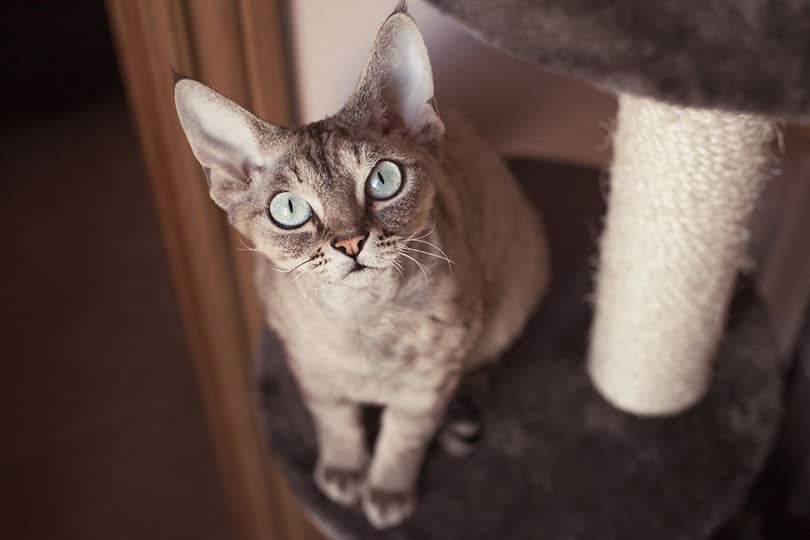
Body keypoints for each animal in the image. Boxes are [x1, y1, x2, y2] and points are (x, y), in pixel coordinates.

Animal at [173, 1, 548, 532]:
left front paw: (387, 493)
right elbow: (338, 424)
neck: (361, 322)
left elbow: (401, 439)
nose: (351, 243)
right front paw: (344, 473)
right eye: (289, 210)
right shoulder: (310, 370)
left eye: (383, 180)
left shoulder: (429, 382)